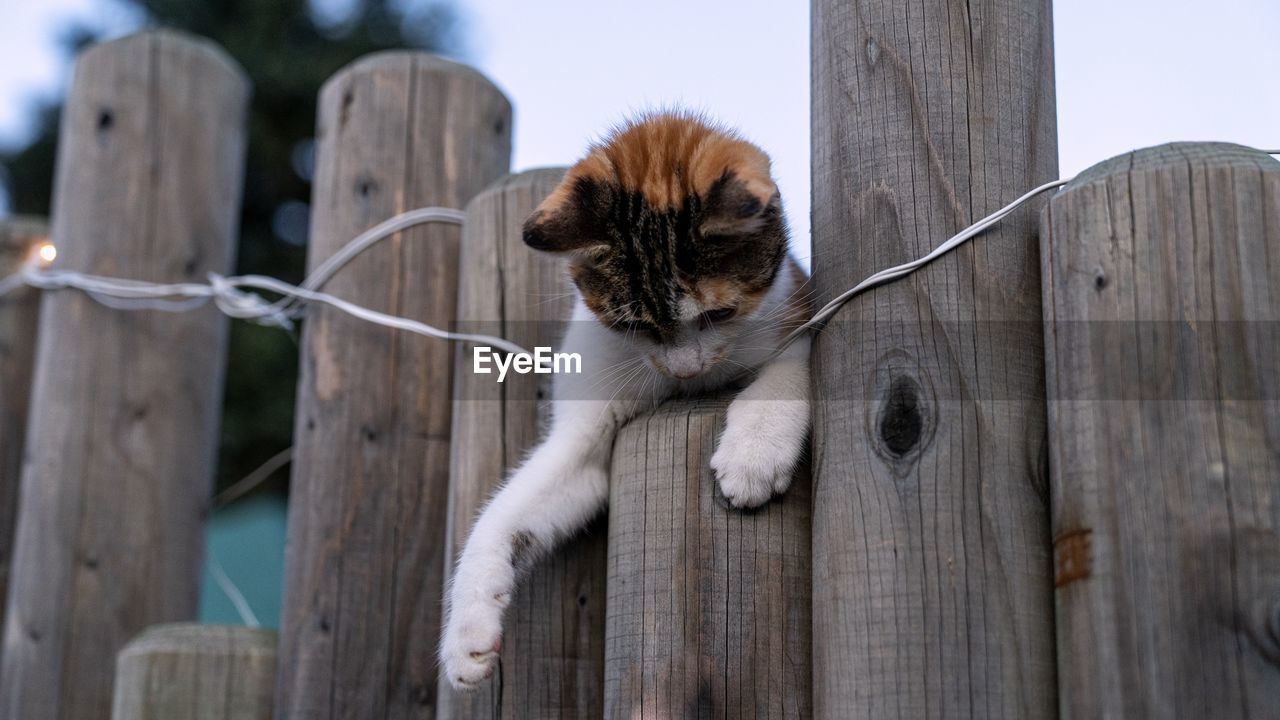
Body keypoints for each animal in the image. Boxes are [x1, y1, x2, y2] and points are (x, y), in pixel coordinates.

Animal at [435, 113, 803, 691]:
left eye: (719, 314)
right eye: (632, 324)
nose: (686, 369)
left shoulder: (799, 307)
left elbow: (791, 368)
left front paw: (754, 456)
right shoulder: (585, 431)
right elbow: (505, 510)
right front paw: (466, 632)